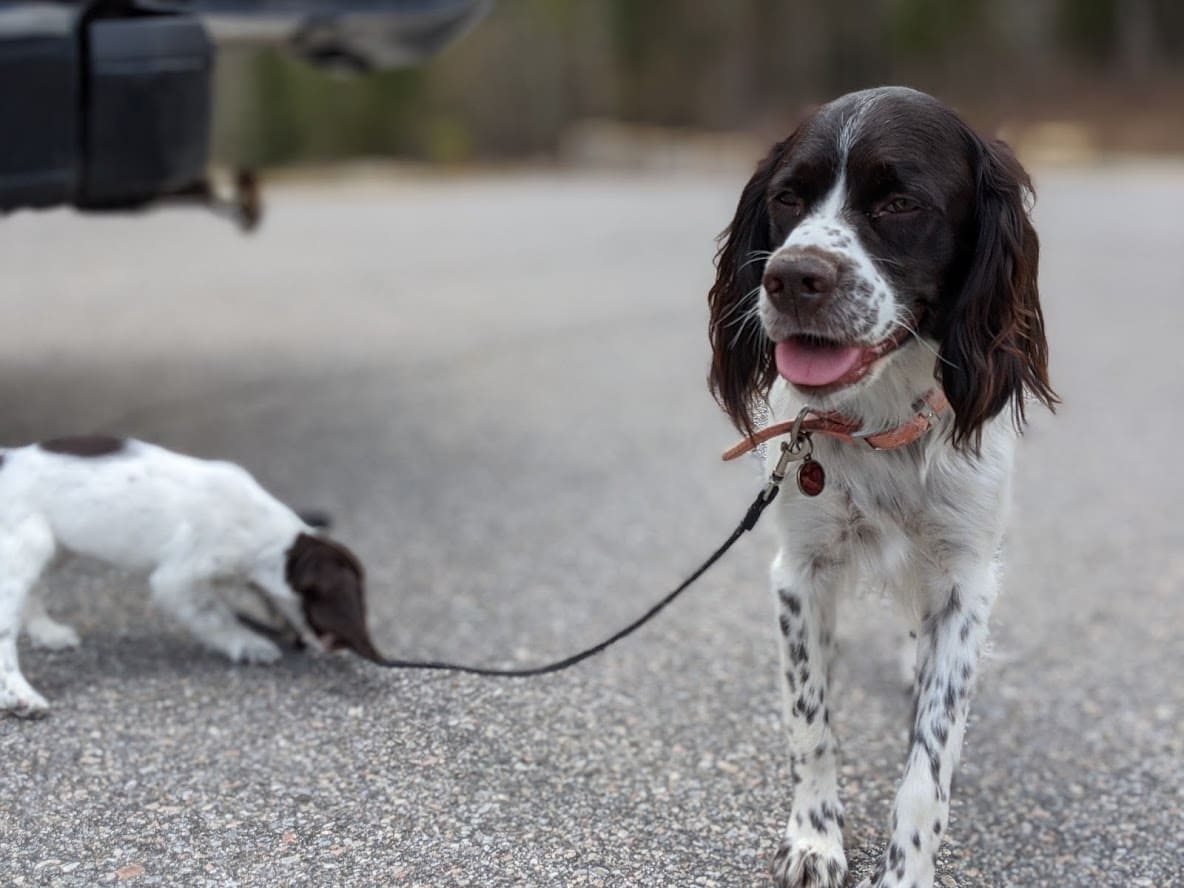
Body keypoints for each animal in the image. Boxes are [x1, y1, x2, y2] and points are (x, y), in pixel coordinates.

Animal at [0, 435, 376, 719]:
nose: (334, 644)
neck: (268, 535)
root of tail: (6, 458)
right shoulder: (178, 578)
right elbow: (215, 615)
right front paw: (249, 643)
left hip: (56, 546)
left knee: (34, 589)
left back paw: (47, 632)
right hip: (26, 545)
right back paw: (20, 696)